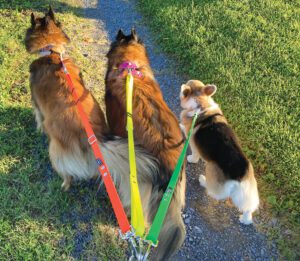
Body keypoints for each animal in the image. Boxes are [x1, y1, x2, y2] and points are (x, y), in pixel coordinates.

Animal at [179, 79, 258, 223]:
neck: (201, 103)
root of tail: (239, 172)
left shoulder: (193, 143)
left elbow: (194, 154)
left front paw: (191, 159)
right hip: (246, 190)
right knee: (247, 207)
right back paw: (245, 219)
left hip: (210, 168)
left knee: (214, 192)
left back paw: (203, 180)